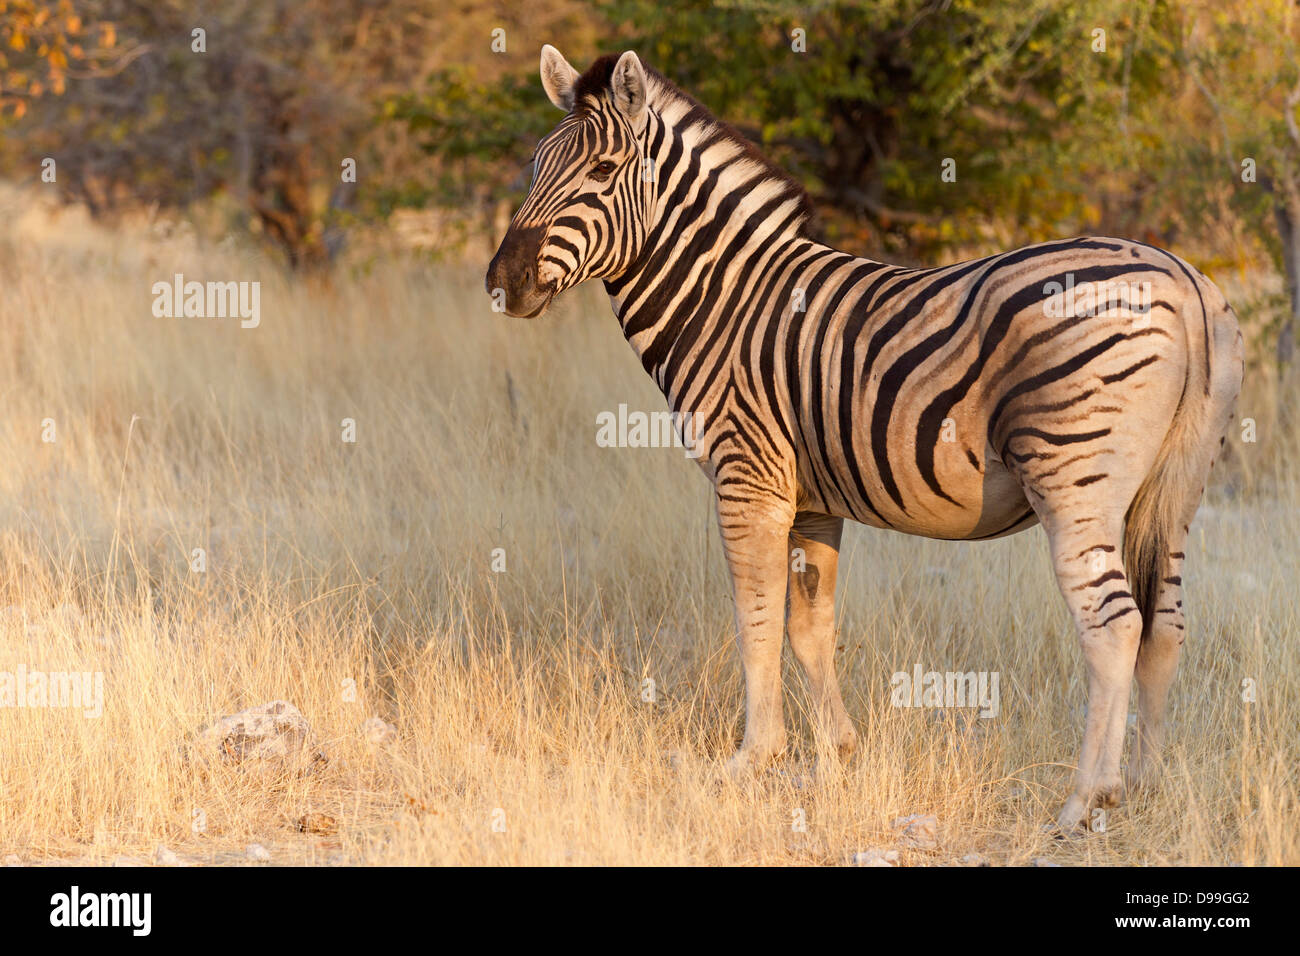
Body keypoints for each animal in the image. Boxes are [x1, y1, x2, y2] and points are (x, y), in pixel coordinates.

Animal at [483, 48, 1242, 832]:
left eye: (602, 171)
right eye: (536, 166)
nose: (501, 282)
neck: (723, 301)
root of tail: (1181, 278)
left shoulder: (747, 477)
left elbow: (755, 618)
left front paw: (752, 760)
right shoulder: (813, 497)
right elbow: (809, 628)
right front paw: (838, 753)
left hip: (1075, 479)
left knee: (1114, 626)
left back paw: (1086, 799)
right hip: (1176, 490)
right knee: (1165, 627)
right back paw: (1145, 786)